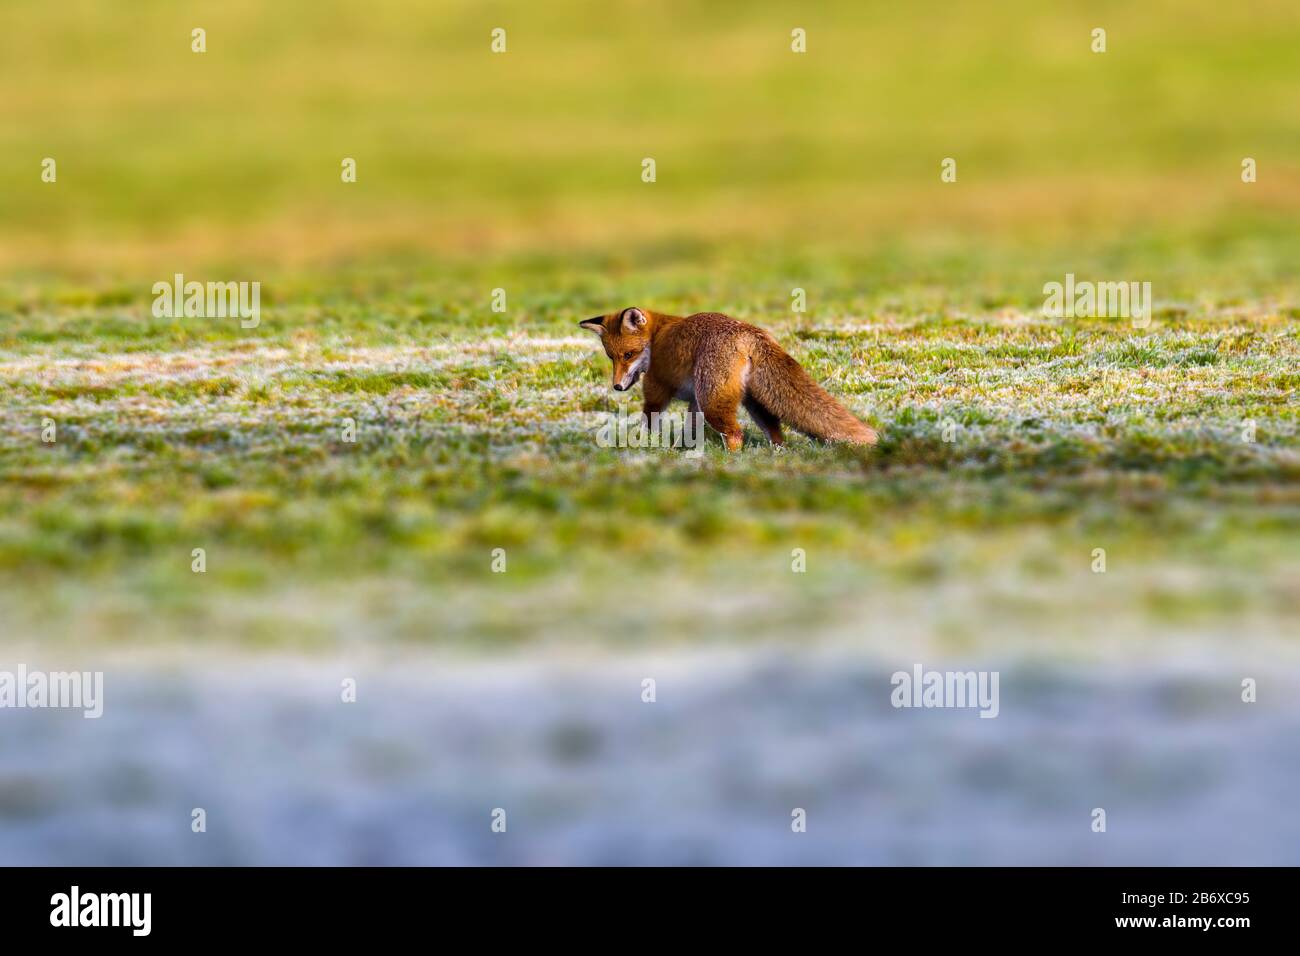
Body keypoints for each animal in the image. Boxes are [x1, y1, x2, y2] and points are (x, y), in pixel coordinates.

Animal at [580, 307, 877, 451]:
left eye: (628, 354)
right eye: (611, 357)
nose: (617, 386)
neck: (656, 338)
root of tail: (748, 331)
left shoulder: (657, 390)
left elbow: (648, 423)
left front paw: (645, 446)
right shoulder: (694, 402)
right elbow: (690, 430)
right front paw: (683, 451)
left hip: (715, 402)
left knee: (736, 434)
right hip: (752, 403)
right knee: (776, 434)